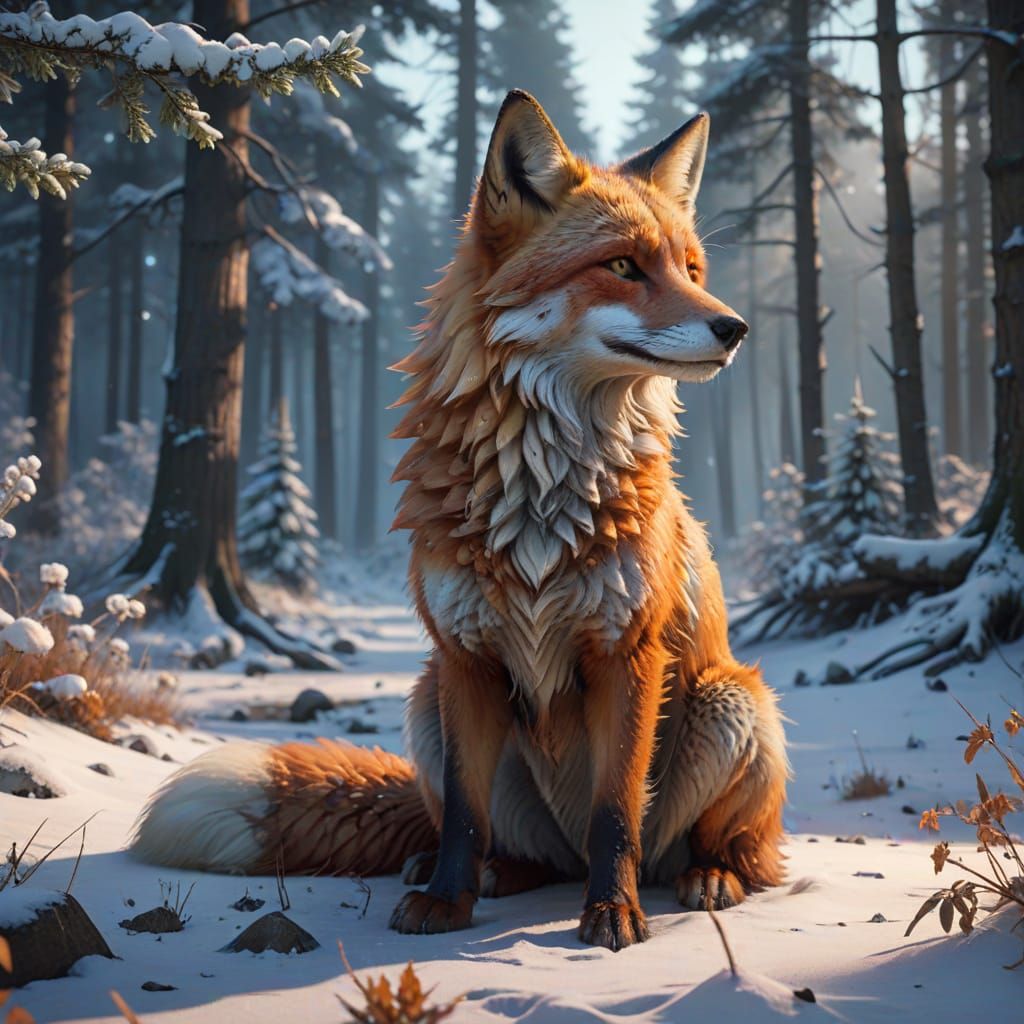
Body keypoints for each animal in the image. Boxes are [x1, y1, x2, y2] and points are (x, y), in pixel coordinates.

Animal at [132, 90, 788, 951]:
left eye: (692, 270)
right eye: (622, 266)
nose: (736, 328)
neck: (541, 495)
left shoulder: (628, 653)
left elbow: (617, 812)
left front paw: (613, 917)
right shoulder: (466, 657)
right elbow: (465, 818)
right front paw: (445, 904)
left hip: (729, 700)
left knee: (707, 847)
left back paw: (706, 876)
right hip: (425, 701)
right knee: (498, 841)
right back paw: (495, 876)